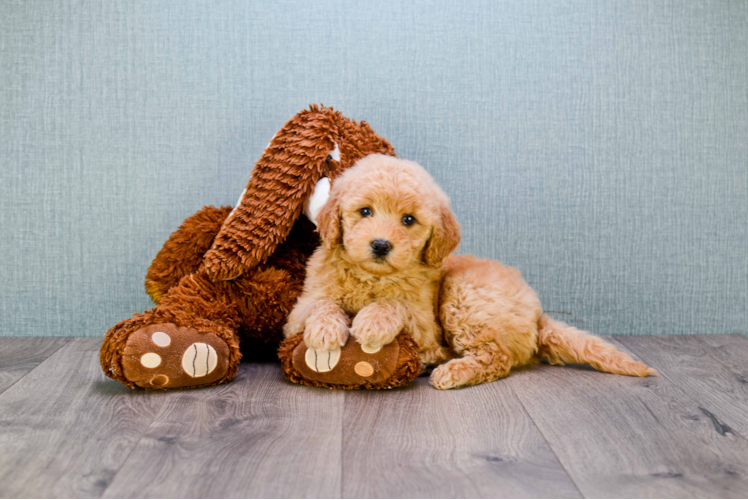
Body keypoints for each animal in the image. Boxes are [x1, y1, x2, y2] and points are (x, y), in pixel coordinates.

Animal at [284, 154, 656, 388]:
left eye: (408, 220)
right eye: (365, 211)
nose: (380, 245)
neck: (372, 276)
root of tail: (538, 315)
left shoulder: (423, 323)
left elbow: (396, 304)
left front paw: (371, 322)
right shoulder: (300, 307)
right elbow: (322, 303)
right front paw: (324, 332)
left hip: (464, 296)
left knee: (496, 358)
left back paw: (450, 372)